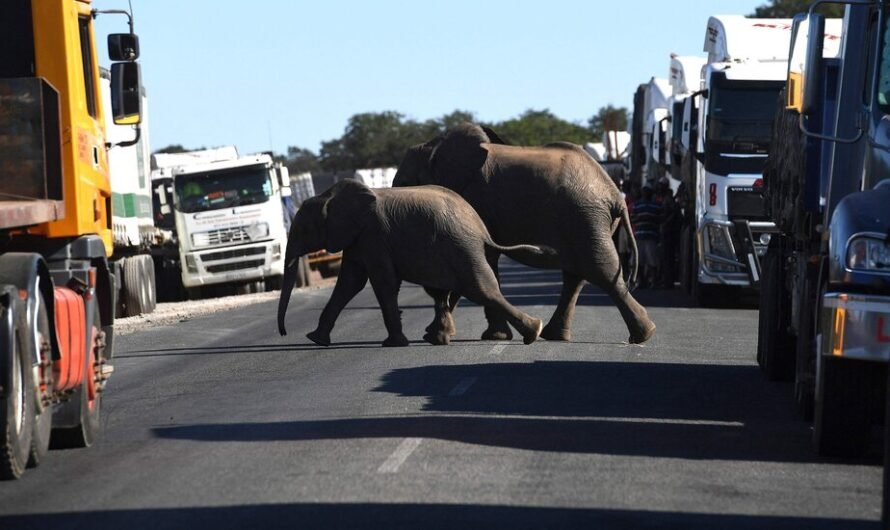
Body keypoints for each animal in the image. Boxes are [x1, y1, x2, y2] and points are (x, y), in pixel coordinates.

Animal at [276, 179, 548, 348]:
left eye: (302, 229)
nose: (283, 332)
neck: (330, 197)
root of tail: (481, 228)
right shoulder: (358, 238)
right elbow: (350, 283)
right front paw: (315, 339)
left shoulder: (373, 235)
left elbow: (381, 282)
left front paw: (393, 344)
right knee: (454, 292)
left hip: (461, 248)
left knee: (481, 290)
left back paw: (534, 331)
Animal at [392, 122, 656, 344]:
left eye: (404, 183)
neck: (434, 148)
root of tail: (615, 194)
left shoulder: (477, 200)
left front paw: (440, 335)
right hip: (587, 222)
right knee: (578, 275)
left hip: (585, 217)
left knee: (600, 270)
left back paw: (643, 334)